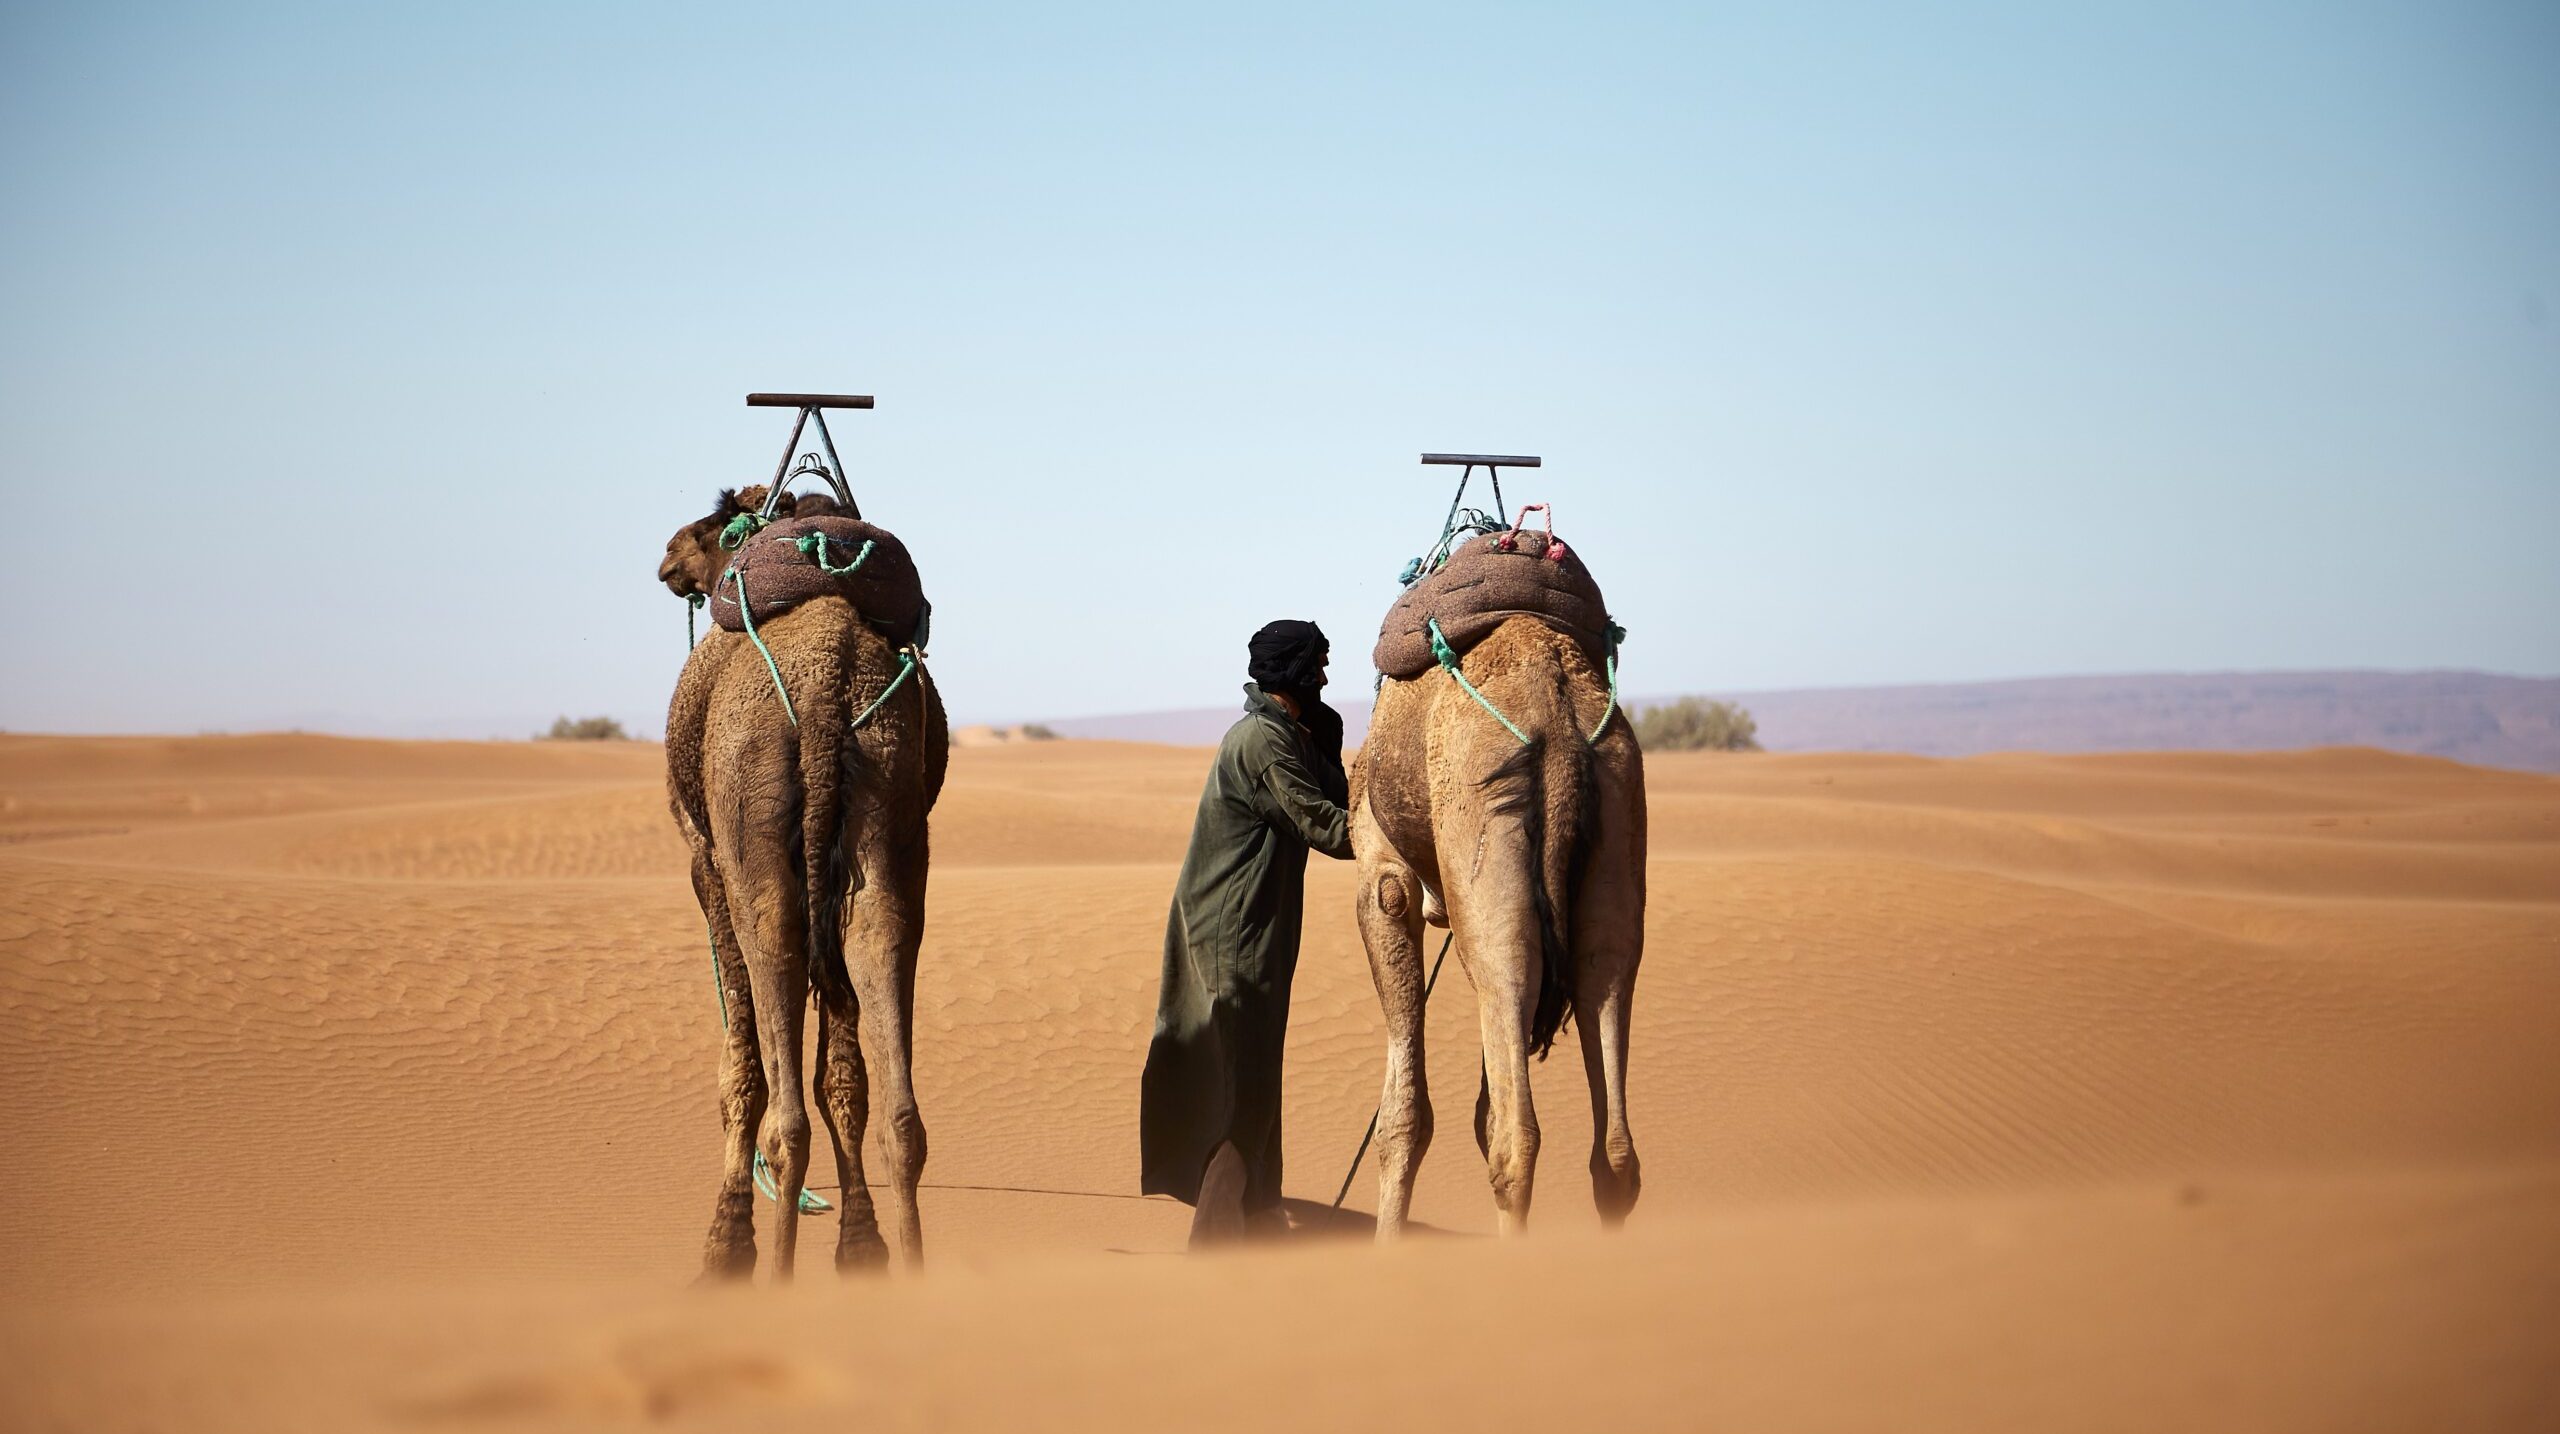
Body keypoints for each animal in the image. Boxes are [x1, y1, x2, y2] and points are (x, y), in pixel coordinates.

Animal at [659, 485, 949, 1280]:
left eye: (713, 525)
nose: (668, 556)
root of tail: (824, 693)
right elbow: (843, 1074)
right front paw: (863, 1247)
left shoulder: (705, 861)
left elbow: (743, 1066)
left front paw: (724, 1249)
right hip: (890, 813)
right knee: (882, 961)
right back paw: (911, 1263)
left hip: (752, 829)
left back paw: (774, 1271)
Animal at [1350, 616, 1645, 1237]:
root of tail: (1558, 718)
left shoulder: (1383, 874)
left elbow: (1402, 1120)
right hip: (1618, 813)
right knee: (1613, 1146)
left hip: (1483, 832)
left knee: (1515, 1139)